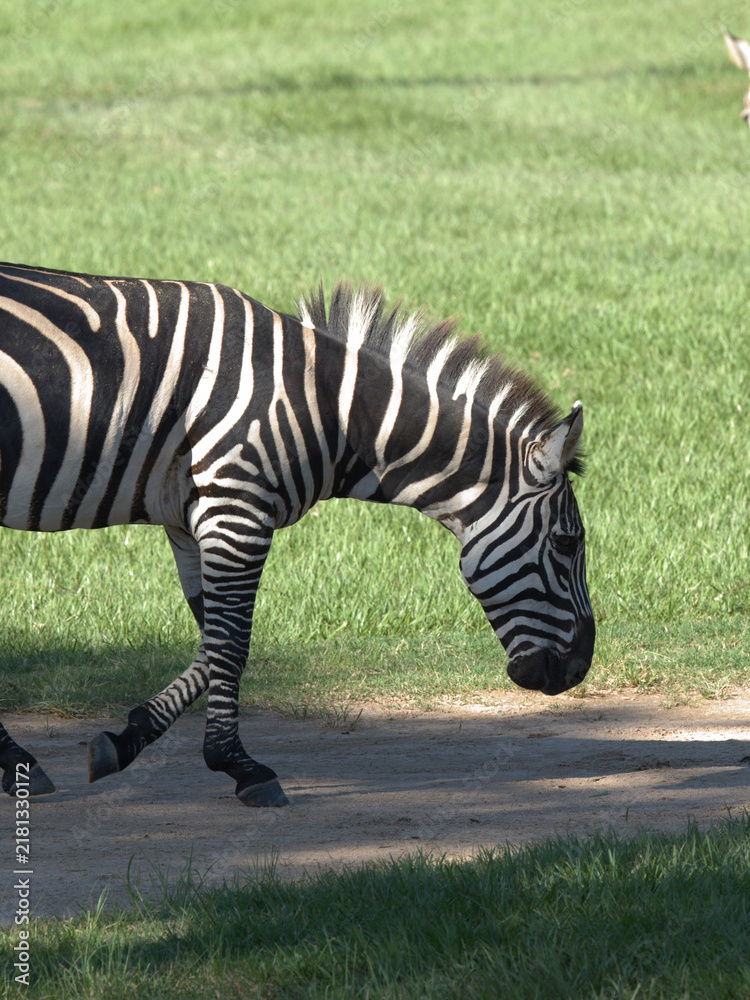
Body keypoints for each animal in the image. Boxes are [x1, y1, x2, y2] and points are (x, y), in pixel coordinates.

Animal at [0, 262, 594, 808]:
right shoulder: (237, 506)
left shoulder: (192, 516)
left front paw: (126, 739)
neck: (331, 410)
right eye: (567, 545)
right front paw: (239, 765)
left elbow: (212, 639)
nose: (578, 669)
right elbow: (232, 641)